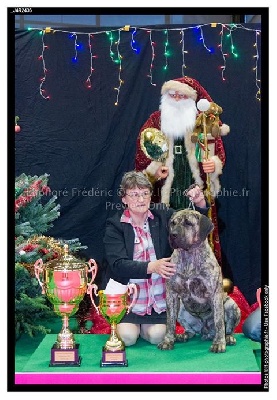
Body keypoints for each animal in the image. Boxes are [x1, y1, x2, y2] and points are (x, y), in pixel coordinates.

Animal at [157, 209, 239, 354]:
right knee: (191, 331)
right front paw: (168, 341)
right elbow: (170, 322)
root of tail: (205, 332)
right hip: (181, 308)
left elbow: (219, 322)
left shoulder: (214, 294)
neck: (189, 256)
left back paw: (228, 338)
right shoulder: (172, 294)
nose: (173, 235)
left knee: (228, 328)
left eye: (188, 223)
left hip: (232, 305)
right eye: (173, 223)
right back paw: (182, 336)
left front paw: (219, 344)